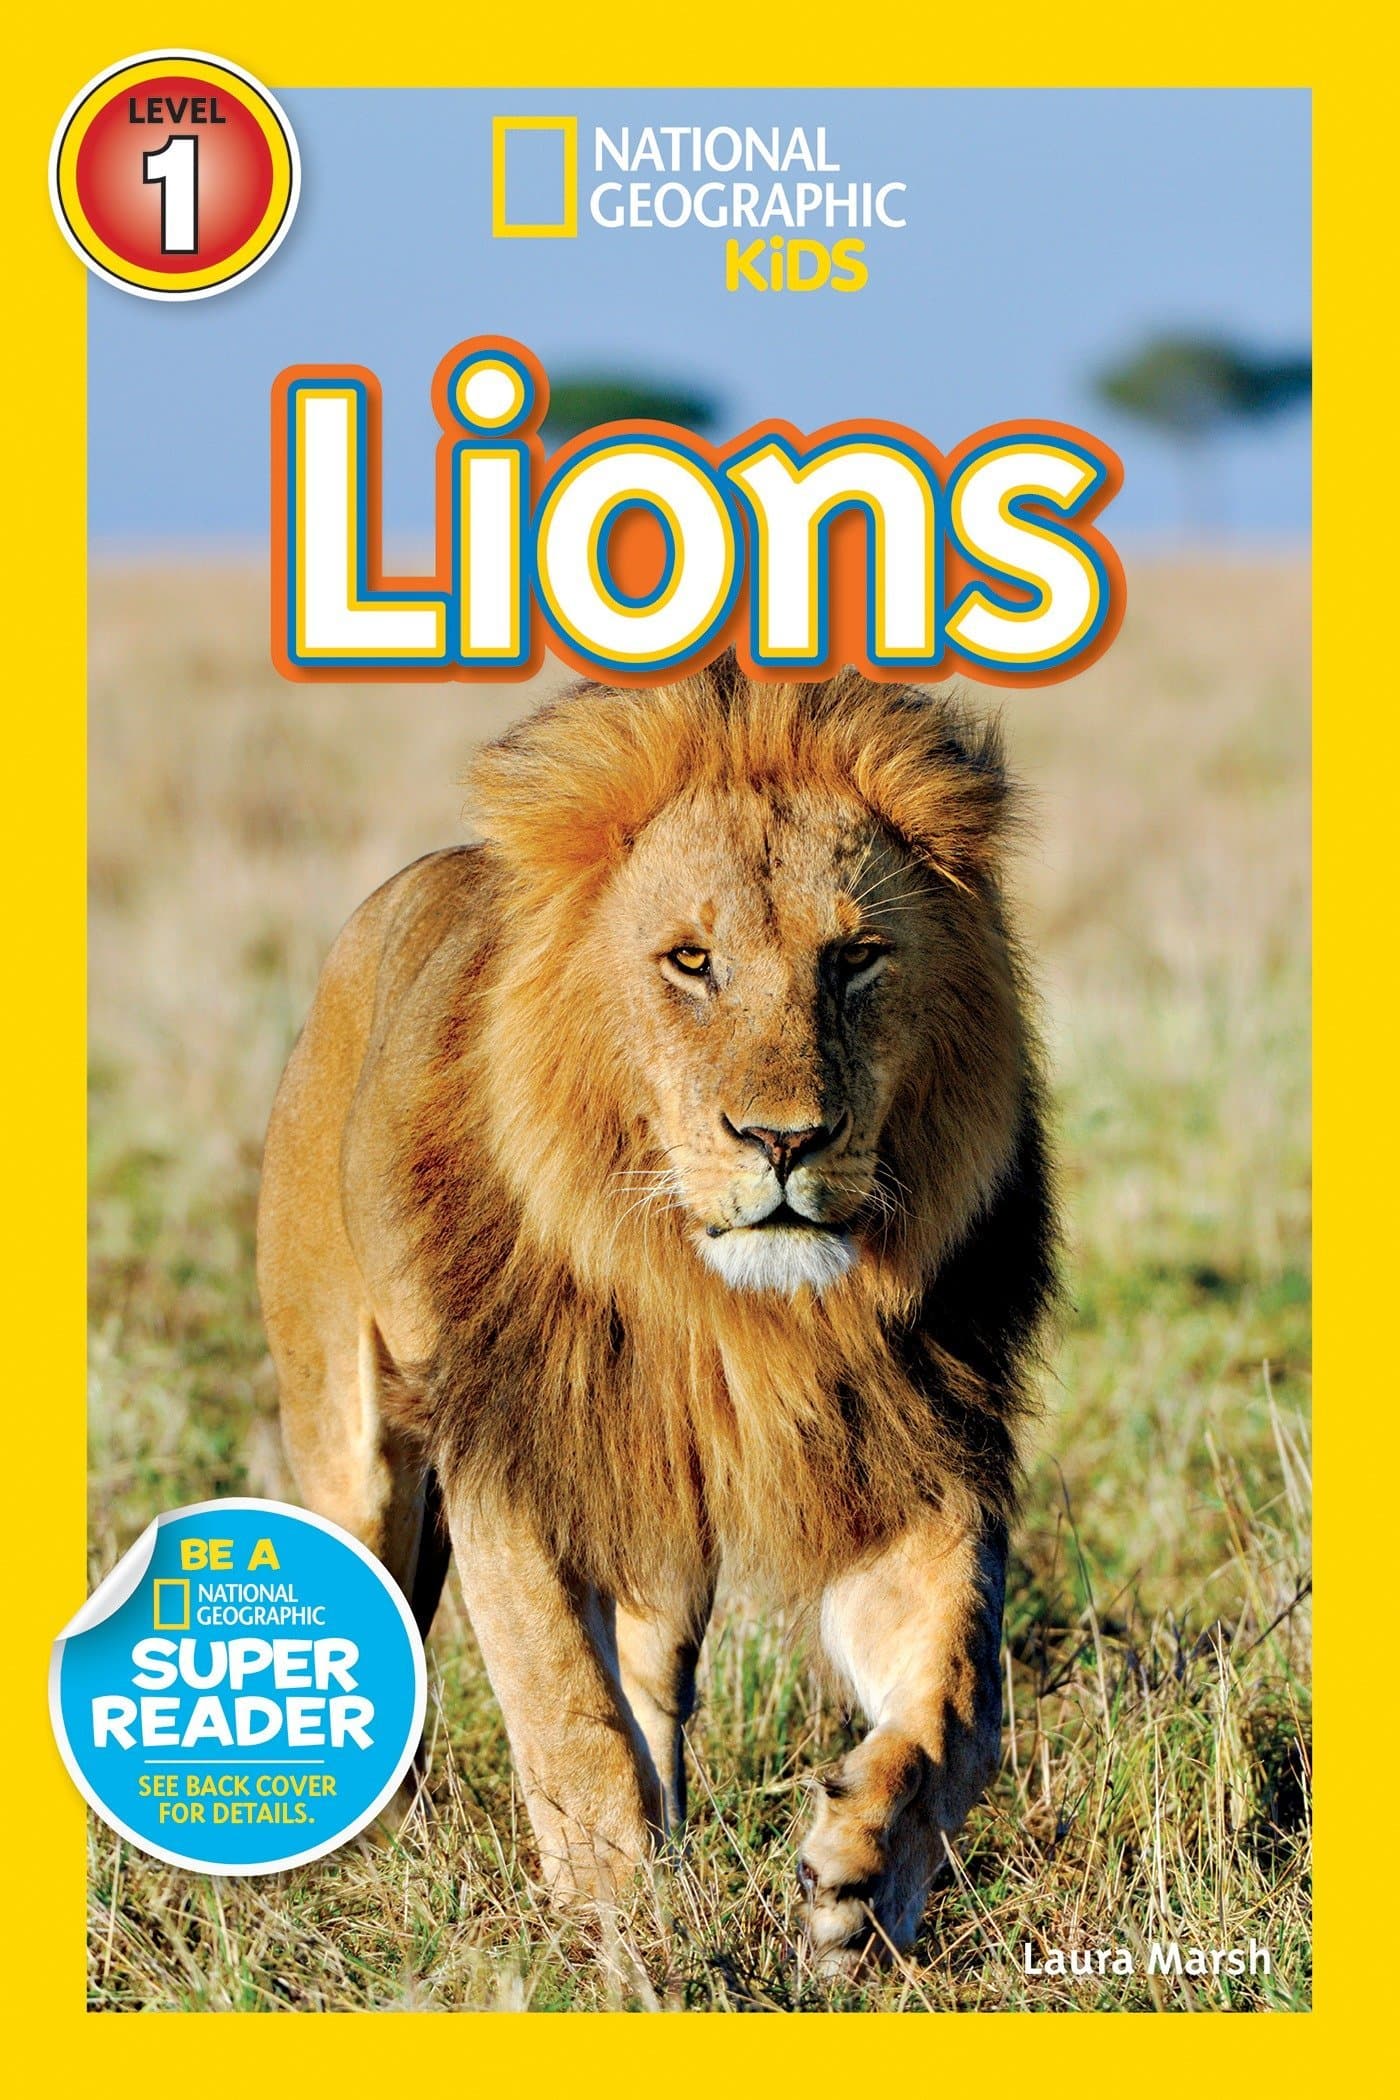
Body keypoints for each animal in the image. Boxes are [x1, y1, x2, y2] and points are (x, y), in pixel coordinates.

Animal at [257, 653, 1057, 1965]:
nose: (783, 1140)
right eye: (690, 962)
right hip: (350, 1438)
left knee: (651, 1679)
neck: (725, 1311)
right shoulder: (513, 1456)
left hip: (662, 1532)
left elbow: (959, 1696)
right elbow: (562, 1708)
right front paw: (612, 1923)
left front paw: (863, 1877)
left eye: (855, 960)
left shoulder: (903, 1453)